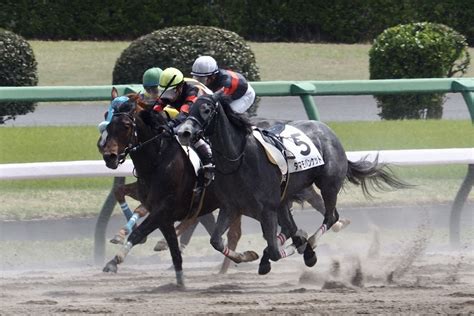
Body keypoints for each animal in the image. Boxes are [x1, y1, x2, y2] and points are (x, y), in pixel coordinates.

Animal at [176, 92, 410, 274]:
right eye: (188, 108)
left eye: (206, 109)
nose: (184, 132)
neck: (239, 158)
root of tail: (327, 130)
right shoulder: (232, 206)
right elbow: (216, 241)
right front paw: (249, 255)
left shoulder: (267, 208)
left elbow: (275, 249)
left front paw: (301, 247)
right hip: (288, 195)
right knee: (294, 226)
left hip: (328, 185)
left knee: (331, 217)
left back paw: (310, 246)